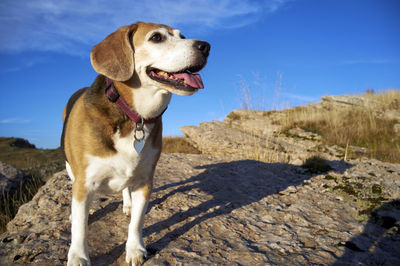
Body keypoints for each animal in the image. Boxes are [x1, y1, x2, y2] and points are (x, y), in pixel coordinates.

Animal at [61, 21, 211, 264]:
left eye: (182, 36)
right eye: (157, 37)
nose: (206, 46)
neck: (133, 116)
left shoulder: (144, 181)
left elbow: (137, 223)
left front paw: (135, 249)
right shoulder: (84, 183)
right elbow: (81, 228)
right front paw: (78, 256)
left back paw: (128, 203)